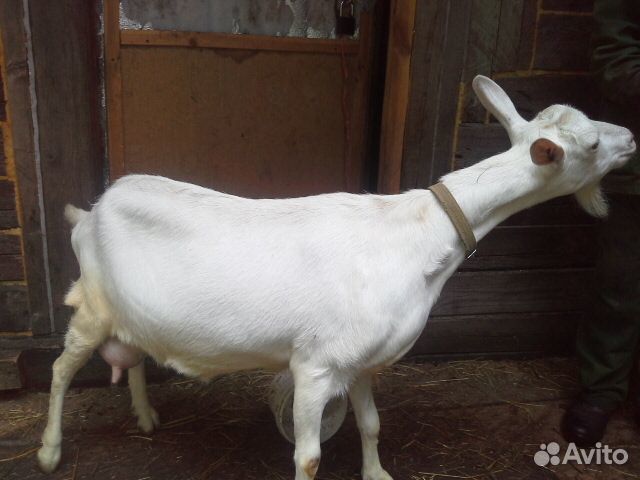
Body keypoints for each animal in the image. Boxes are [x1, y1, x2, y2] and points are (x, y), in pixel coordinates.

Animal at [37, 76, 635, 479]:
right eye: (591, 146)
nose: (630, 136)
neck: (418, 234)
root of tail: (89, 212)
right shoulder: (315, 366)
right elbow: (308, 457)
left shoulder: (363, 361)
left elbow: (371, 424)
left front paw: (377, 473)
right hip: (90, 307)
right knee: (61, 369)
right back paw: (48, 449)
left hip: (127, 313)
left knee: (133, 355)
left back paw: (145, 417)